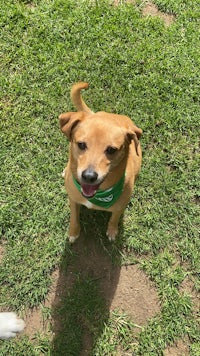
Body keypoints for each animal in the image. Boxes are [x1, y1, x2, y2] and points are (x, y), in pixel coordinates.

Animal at [59, 81, 142, 242]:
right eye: (81, 144)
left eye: (111, 150)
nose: (89, 176)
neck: (98, 195)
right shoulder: (73, 199)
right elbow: (74, 217)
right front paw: (73, 232)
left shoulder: (119, 207)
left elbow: (114, 218)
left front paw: (112, 231)